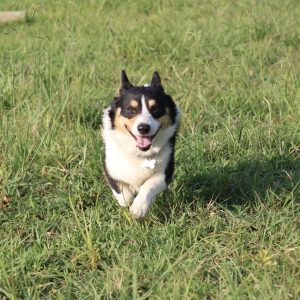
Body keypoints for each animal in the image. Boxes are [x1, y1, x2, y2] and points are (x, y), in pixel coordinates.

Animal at [102, 71, 179, 219]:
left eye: (156, 108)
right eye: (130, 109)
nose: (143, 128)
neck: (140, 152)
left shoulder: (166, 172)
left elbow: (149, 185)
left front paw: (138, 209)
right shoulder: (110, 168)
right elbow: (122, 192)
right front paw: (128, 201)